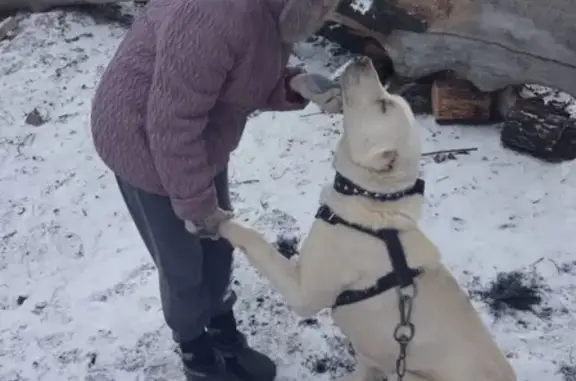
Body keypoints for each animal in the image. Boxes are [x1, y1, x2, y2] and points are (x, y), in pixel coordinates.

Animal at [218, 56, 516, 380]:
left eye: (383, 105)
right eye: (389, 98)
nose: (364, 59)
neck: (374, 200)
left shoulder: (304, 294)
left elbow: (257, 242)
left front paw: (221, 222)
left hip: (407, 374)